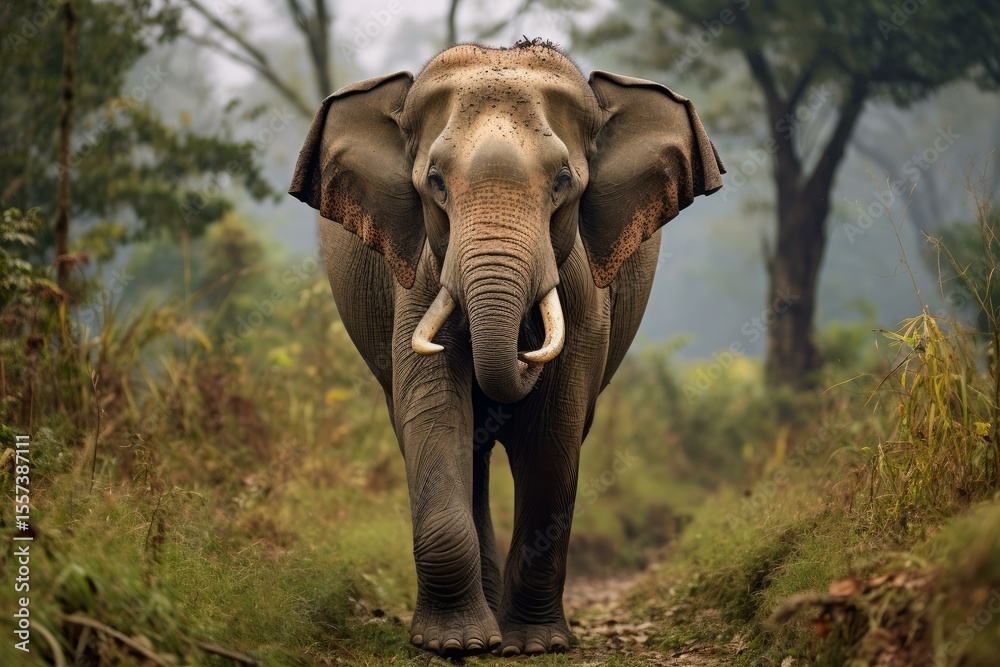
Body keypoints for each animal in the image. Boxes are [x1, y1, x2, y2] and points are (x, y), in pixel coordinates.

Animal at [288, 39, 724, 656]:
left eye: (564, 180)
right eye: (435, 181)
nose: (523, 350)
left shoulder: (584, 286)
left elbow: (553, 432)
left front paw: (534, 646)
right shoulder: (418, 271)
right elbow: (434, 409)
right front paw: (456, 645)